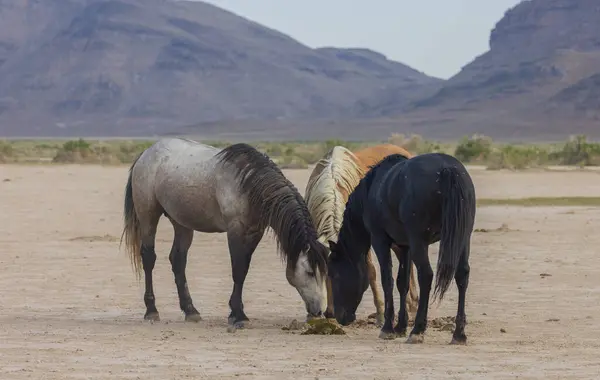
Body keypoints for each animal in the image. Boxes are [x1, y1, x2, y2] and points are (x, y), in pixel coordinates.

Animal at [120, 137, 328, 330]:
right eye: (310, 272)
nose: (319, 311)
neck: (249, 184)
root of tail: (146, 153)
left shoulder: (255, 233)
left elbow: (243, 270)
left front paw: (237, 313)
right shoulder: (235, 231)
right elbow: (238, 270)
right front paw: (237, 315)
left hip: (181, 223)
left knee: (178, 260)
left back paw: (191, 311)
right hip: (148, 217)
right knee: (149, 258)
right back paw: (151, 311)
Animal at [326, 152, 476, 344]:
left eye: (335, 274)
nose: (340, 317)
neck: (371, 191)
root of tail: (447, 169)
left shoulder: (380, 241)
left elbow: (387, 280)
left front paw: (388, 328)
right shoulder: (405, 246)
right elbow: (402, 282)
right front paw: (400, 327)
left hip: (420, 241)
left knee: (426, 275)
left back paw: (417, 330)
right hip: (463, 238)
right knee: (462, 275)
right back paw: (458, 334)